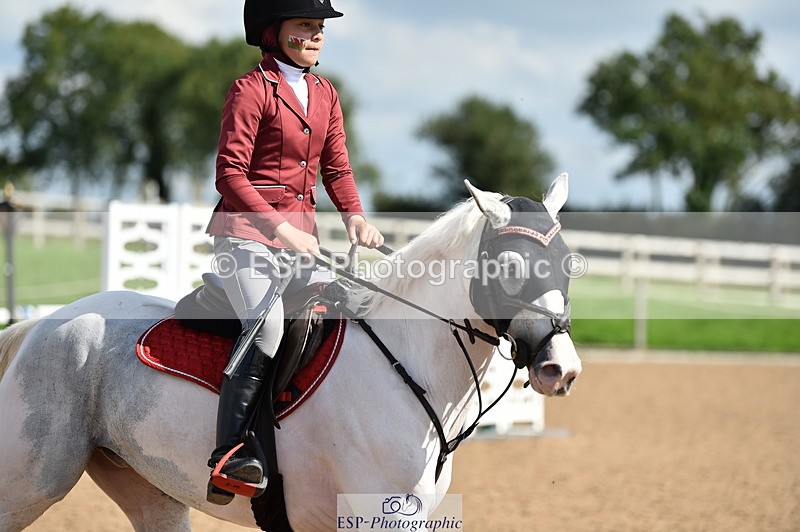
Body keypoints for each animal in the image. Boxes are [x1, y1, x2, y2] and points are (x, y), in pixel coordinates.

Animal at [0, 176, 581, 531]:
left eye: (568, 263)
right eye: (509, 265)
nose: (562, 369)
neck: (406, 364)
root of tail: (46, 322)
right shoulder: (381, 514)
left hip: (146, 488)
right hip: (28, 483)